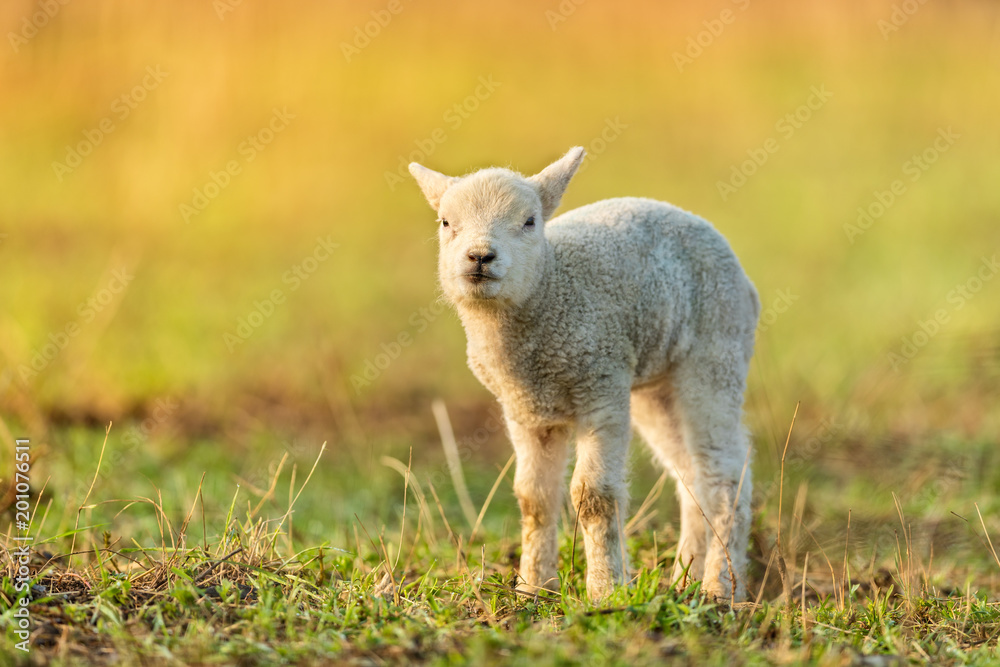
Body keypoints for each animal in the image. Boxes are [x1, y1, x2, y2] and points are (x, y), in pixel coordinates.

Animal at [406, 149, 756, 604]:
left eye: (529, 221)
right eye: (446, 222)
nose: (480, 257)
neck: (550, 290)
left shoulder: (601, 388)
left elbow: (593, 497)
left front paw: (606, 591)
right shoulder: (527, 410)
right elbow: (534, 499)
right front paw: (533, 588)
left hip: (716, 350)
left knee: (725, 474)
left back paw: (721, 587)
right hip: (654, 389)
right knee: (690, 473)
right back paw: (686, 578)